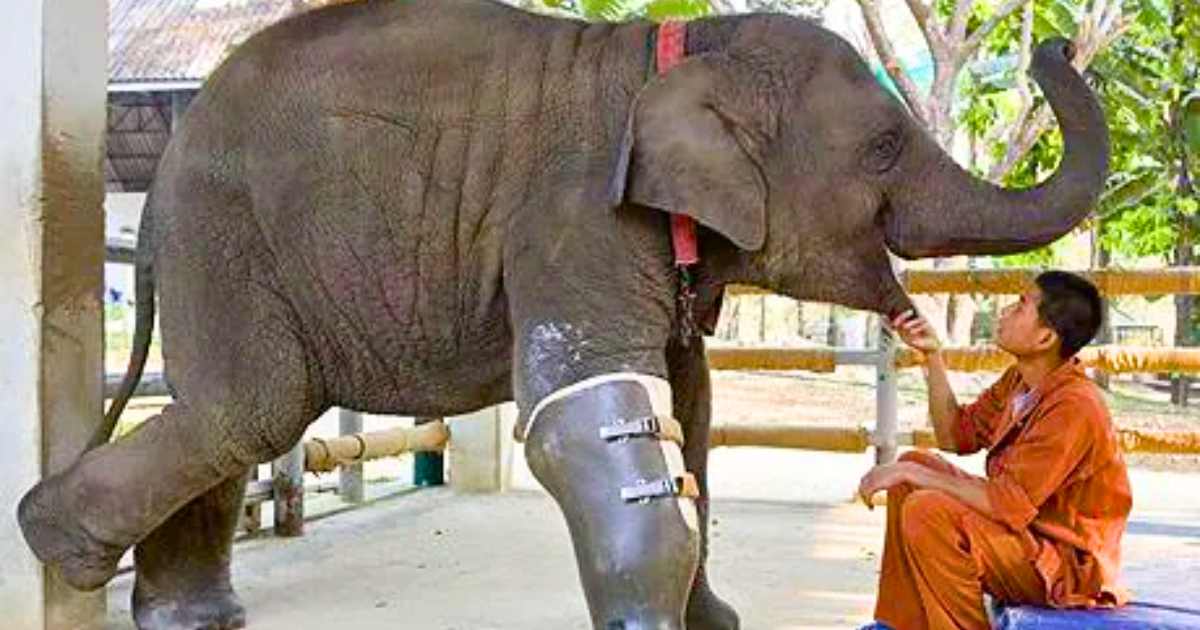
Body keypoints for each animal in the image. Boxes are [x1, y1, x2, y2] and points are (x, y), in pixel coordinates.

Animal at [17, 0, 1109, 628]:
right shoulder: (577, 215)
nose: (1056, 39)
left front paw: (715, 626)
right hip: (224, 232)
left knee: (231, 416)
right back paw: (57, 550)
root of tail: (157, 179)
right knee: (253, 408)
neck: (678, 50)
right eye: (883, 147)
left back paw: (183, 617)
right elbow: (592, 411)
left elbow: (690, 412)